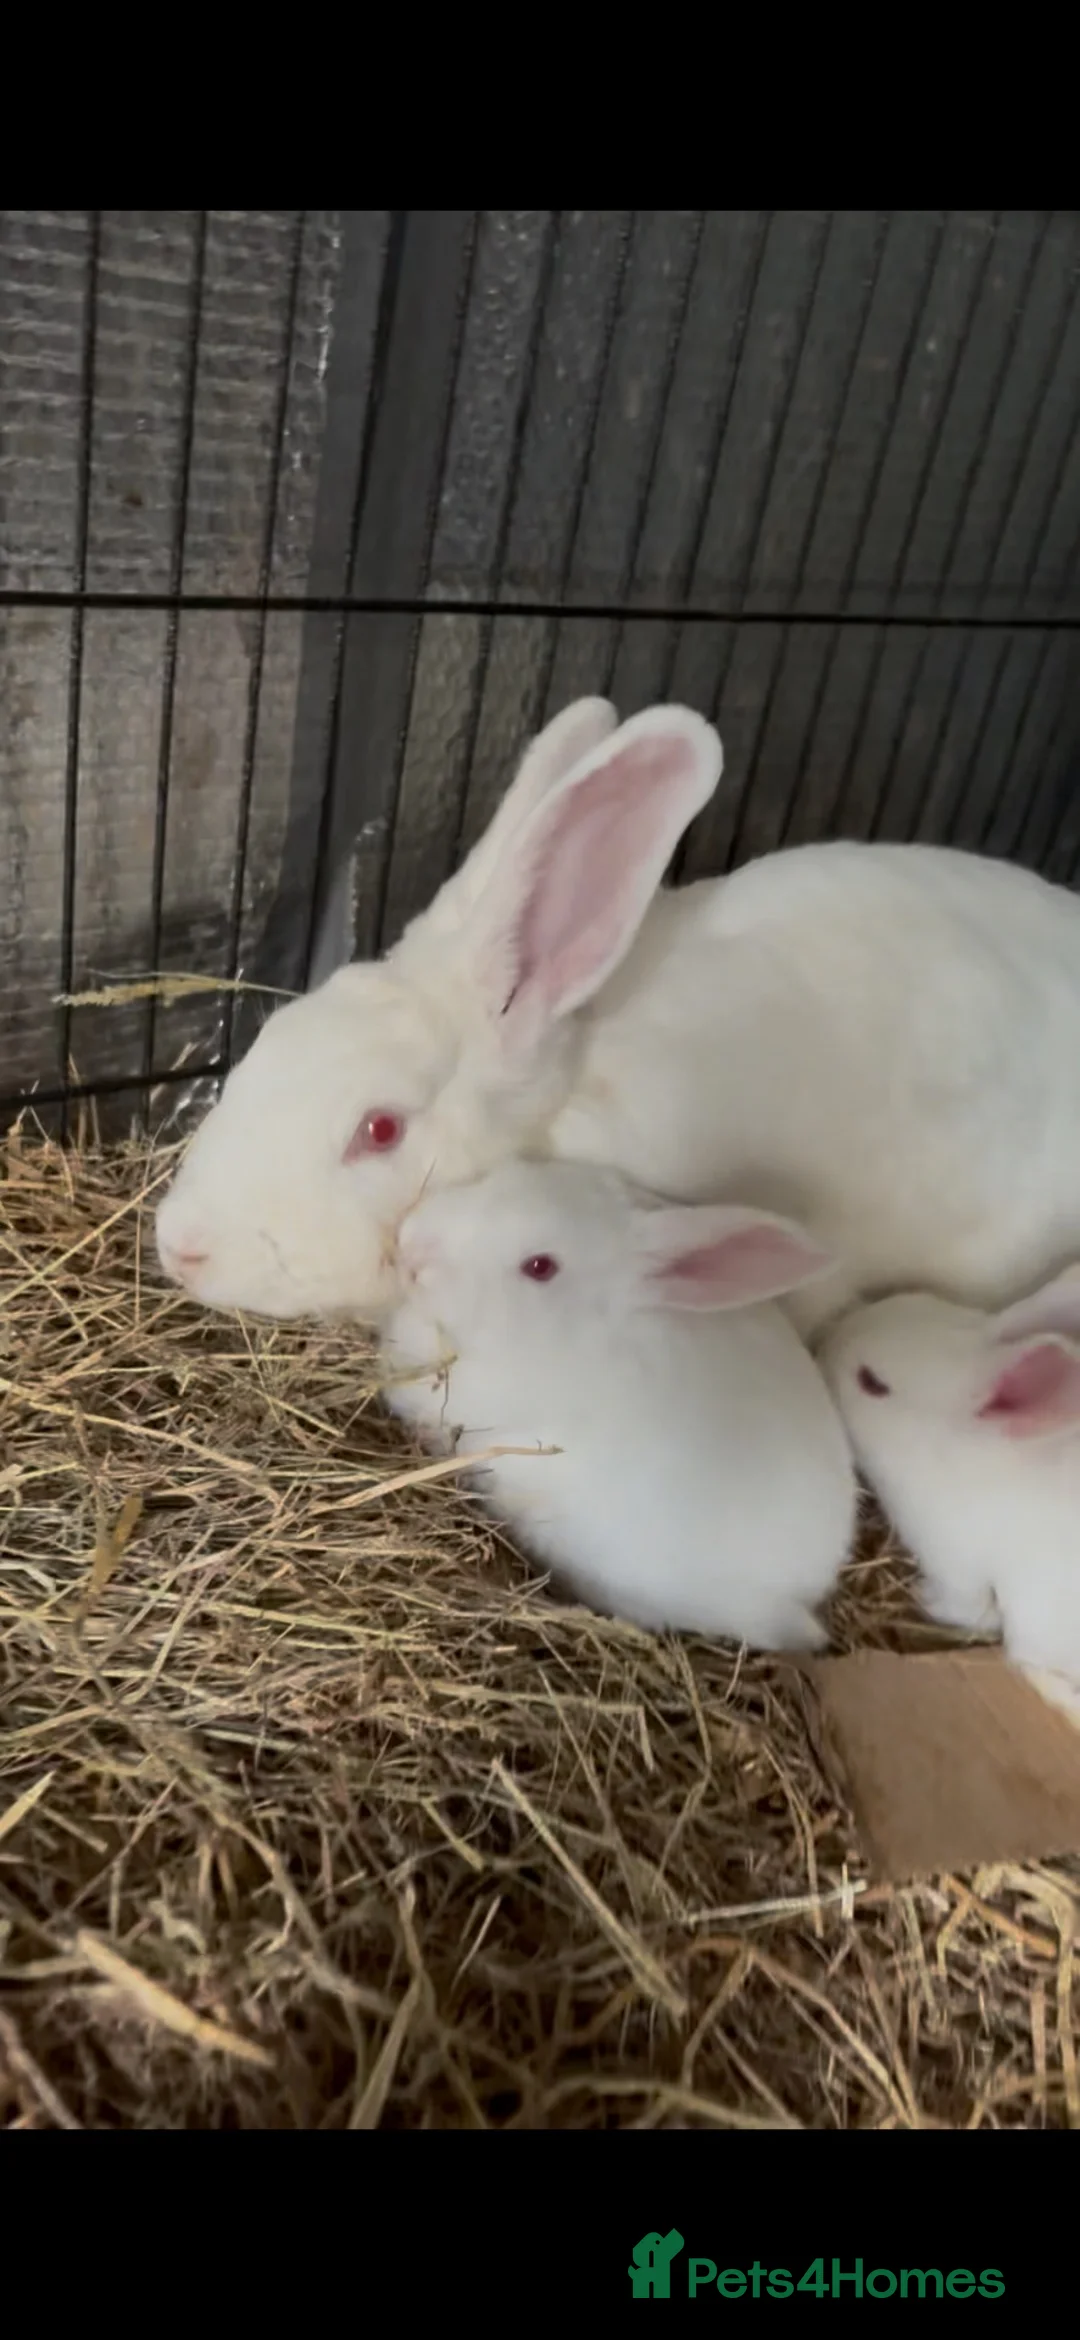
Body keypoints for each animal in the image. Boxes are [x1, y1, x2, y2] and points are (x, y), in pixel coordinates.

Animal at [819, 1265, 1080, 1721]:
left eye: (873, 1382)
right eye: (912, 1299)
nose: (826, 1340)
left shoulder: (954, 1562)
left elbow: (968, 1610)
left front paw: (922, 1597)